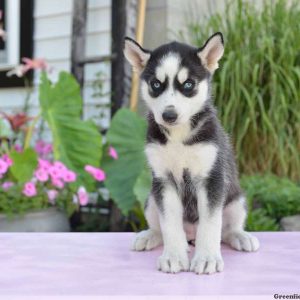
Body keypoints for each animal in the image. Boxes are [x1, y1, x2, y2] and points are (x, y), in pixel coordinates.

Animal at [123, 32, 258, 274]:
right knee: (160, 228)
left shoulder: (211, 179)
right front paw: (174, 256)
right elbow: (169, 224)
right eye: (156, 84)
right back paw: (150, 236)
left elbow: (211, 225)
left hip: (236, 201)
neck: (179, 138)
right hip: (150, 199)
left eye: (188, 84)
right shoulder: (163, 180)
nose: (169, 115)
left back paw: (240, 236)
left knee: (227, 230)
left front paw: (207, 258)